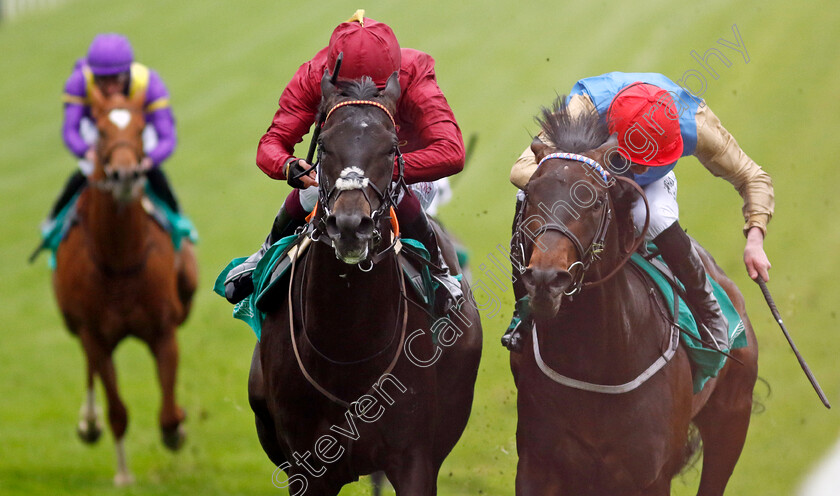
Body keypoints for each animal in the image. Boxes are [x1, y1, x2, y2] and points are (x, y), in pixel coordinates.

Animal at [52, 84, 197, 484]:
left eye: (141, 128)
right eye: (100, 132)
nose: (125, 175)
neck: (118, 262)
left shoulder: (164, 330)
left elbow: (167, 412)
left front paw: (178, 428)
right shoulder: (95, 334)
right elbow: (117, 410)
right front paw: (123, 475)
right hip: (76, 324)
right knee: (89, 366)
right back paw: (89, 422)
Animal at [246, 71, 482, 494]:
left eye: (391, 148)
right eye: (324, 145)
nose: (350, 225)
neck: (347, 346)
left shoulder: (414, 457)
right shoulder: (306, 466)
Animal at [512, 99, 760, 494]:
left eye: (596, 200)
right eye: (532, 195)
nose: (546, 279)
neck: (596, 363)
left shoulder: (649, 476)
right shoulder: (538, 467)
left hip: (732, 416)